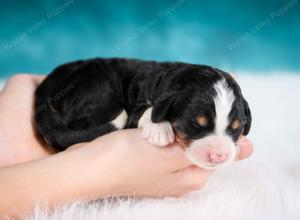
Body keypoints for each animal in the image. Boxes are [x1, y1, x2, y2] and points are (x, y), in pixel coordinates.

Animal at [34, 57, 251, 169]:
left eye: (236, 129)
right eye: (195, 124)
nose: (219, 156)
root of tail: (45, 87)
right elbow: (148, 110)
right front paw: (159, 129)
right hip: (101, 82)